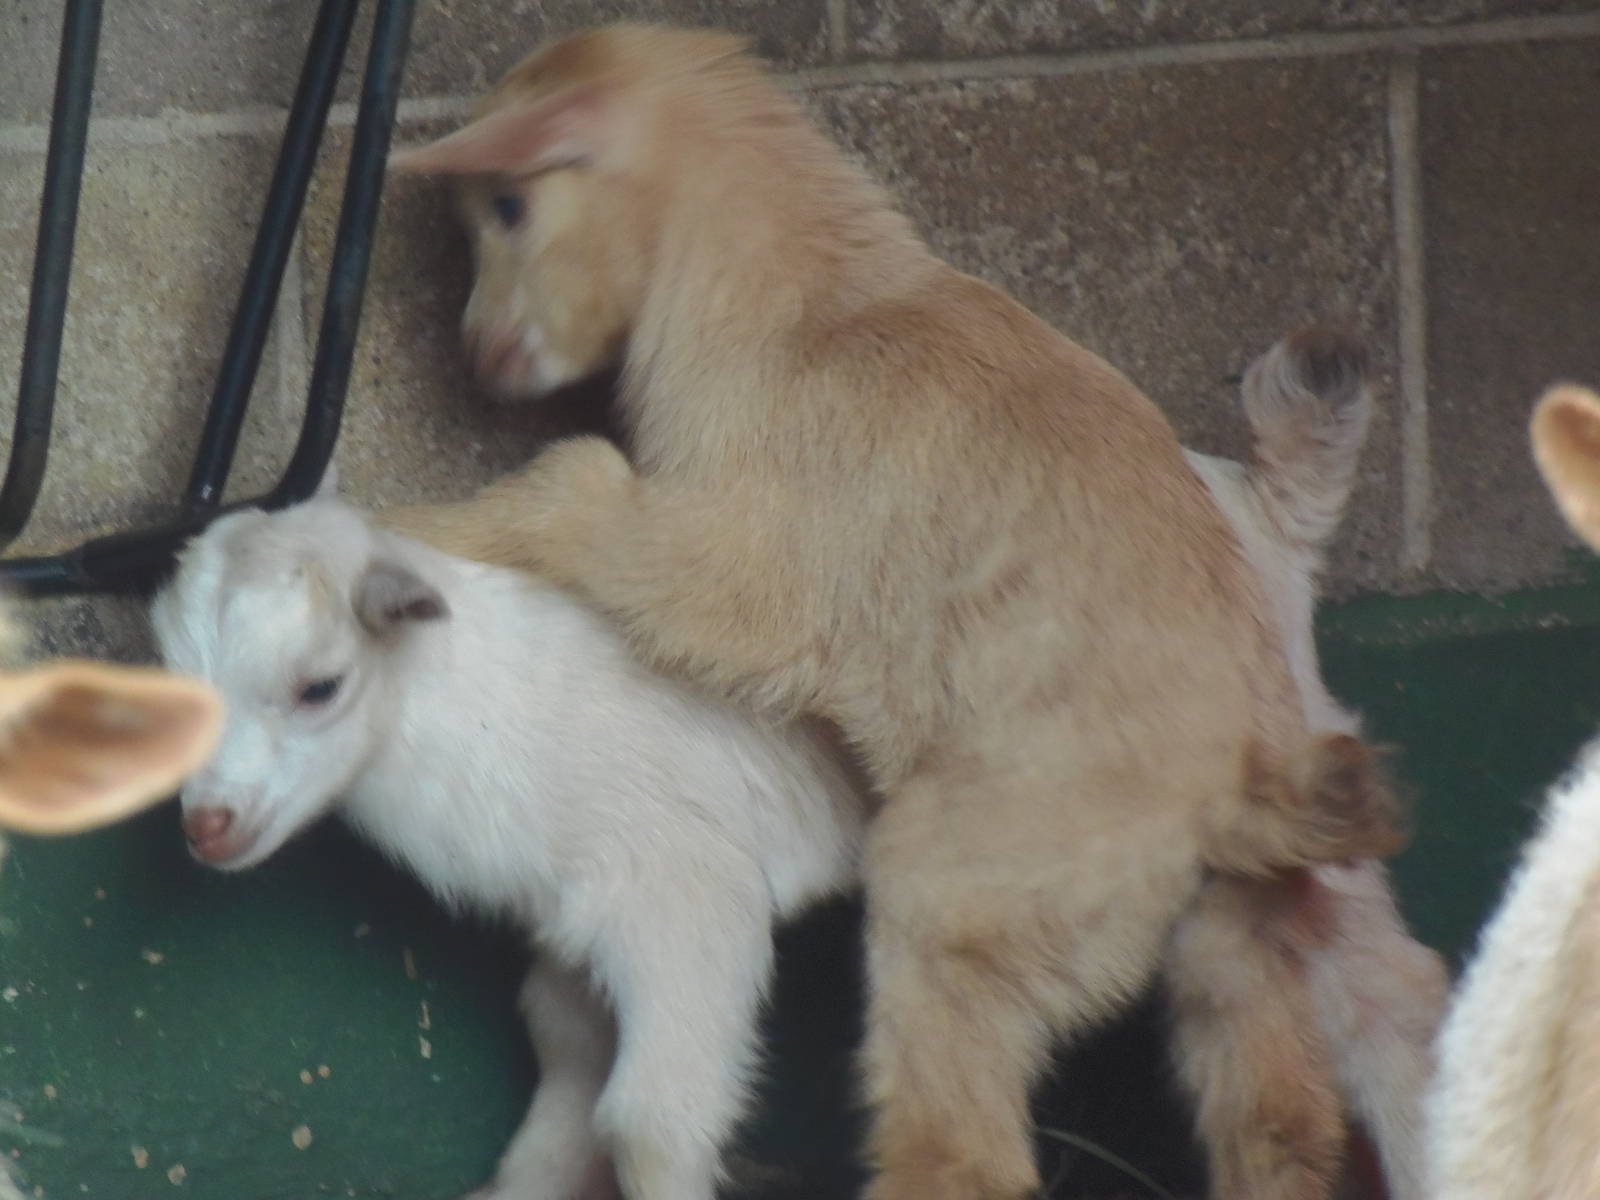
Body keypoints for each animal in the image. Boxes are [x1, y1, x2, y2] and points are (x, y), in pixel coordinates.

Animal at [380, 25, 1405, 1200]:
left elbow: (575, 481)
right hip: (1238, 945)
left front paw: (403, 520)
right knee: (1279, 1127)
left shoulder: (748, 566)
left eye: (506, 207)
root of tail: (1242, 794)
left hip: (969, 885)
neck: (805, 304)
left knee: (961, 1144)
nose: (477, 356)